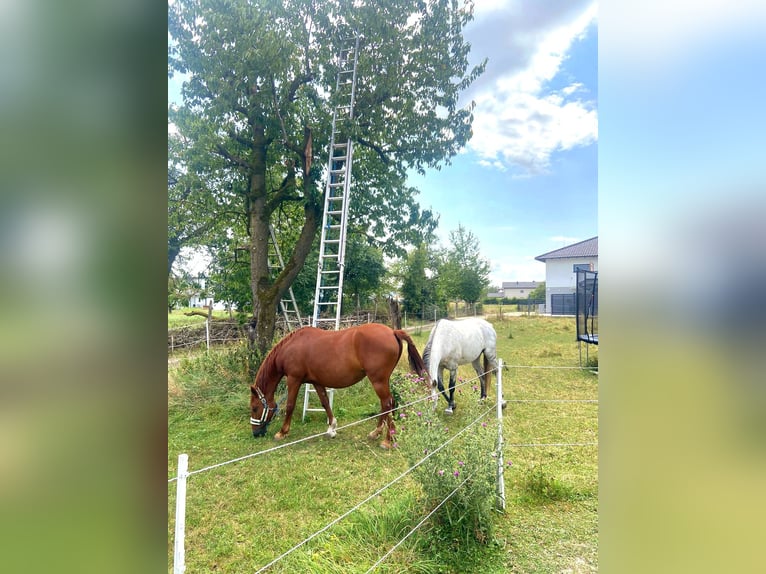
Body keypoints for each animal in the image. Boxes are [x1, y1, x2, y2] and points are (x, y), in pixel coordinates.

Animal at [252, 324, 432, 450]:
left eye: (254, 408)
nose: (255, 433)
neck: (292, 346)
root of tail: (393, 332)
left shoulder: (294, 379)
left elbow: (290, 405)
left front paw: (282, 432)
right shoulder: (317, 382)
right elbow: (325, 402)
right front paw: (332, 428)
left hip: (378, 380)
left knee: (388, 403)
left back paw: (388, 440)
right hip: (382, 381)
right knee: (386, 404)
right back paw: (376, 433)